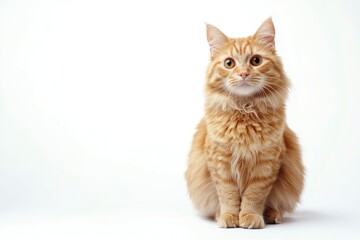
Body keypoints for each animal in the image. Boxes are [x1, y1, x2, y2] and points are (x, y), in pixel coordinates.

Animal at [184, 18, 306, 229]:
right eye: (229, 63)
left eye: (256, 61)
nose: (243, 74)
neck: (244, 110)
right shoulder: (220, 163)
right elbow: (228, 196)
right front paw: (230, 217)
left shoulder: (266, 164)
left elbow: (254, 196)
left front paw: (250, 216)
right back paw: (220, 215)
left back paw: (272, 215)